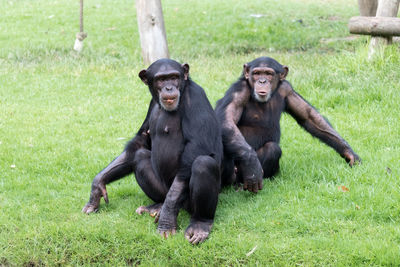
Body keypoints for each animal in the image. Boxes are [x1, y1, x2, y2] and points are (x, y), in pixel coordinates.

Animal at [82, 58, 223, 245]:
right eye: (161, 79)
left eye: (174, 77)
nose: (169, 87)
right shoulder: (151, 104)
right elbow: (140, 142)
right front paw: (98, 185)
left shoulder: (196, 97)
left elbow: (196, 146)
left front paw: (167, 218)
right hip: (162, 189)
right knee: (140, 156)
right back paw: (157, 205)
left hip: (188, 202)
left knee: (203, 163)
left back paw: (199, 224)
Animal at [217, 57, 360, 194]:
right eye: (256, 73)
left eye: (268, 73)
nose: (262, 81)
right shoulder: (239, 91)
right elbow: (226, 121)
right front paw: (252, 165)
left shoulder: (287, 90)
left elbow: (309, 117)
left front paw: (348, 152)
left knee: (272, 149)